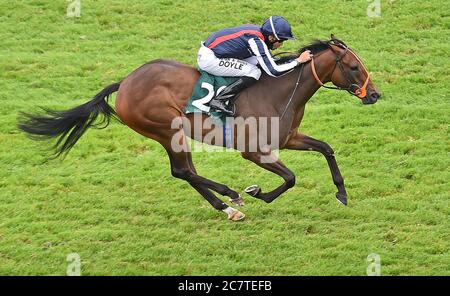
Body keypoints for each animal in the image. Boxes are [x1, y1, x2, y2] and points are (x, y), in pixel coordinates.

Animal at [19, 35, 382, 221]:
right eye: (353, 67)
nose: (375, 94)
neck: (279, 91)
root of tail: (125, 83)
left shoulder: (288, 138)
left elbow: (326, 149)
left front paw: (341, 193)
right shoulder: (254, 152)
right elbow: (290, 178)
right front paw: (257, 192)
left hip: (174, 134)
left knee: (187, 172)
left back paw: (226, 207)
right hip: (165, 129)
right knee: (182, 171)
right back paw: (231, 196)